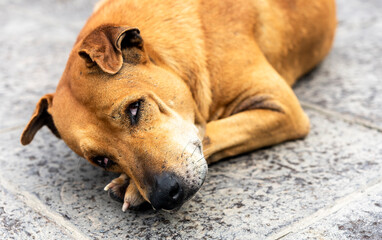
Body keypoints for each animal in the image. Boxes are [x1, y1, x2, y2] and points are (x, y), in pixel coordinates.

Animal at [21, 0, 338, 210]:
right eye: (102, 161)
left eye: (134, 109)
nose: (163, 194)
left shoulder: (280, 106)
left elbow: (210, 131)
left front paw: (129, 186)